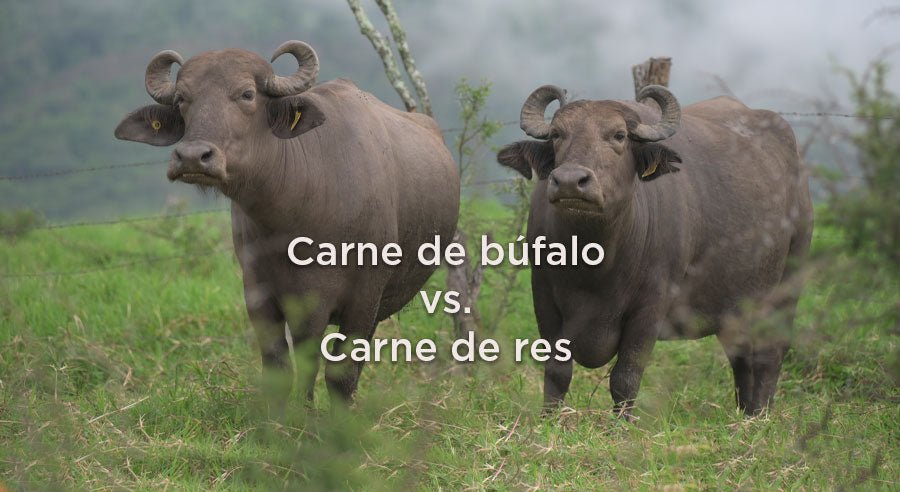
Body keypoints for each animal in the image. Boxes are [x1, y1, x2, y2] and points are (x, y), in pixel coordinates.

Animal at [115, 42, 459, 406]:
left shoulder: (363, 298)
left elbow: (339, 375)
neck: (291, 220)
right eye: (182, 98)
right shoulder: (260, 294)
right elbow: (282, 367)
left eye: (247, 94)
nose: (193, 157)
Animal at [497, 84, 813, 417]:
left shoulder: (651, 307)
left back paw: (760, 414)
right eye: (558, 133)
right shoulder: (543, 296)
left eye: (619, 135)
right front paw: (549, 418)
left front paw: (621, 423)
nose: (570, 181)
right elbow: (557, 371)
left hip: (788, 285)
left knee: (771, 351)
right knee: (741, 354)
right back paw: (746, 412)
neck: (593, 263)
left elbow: (625, 376)